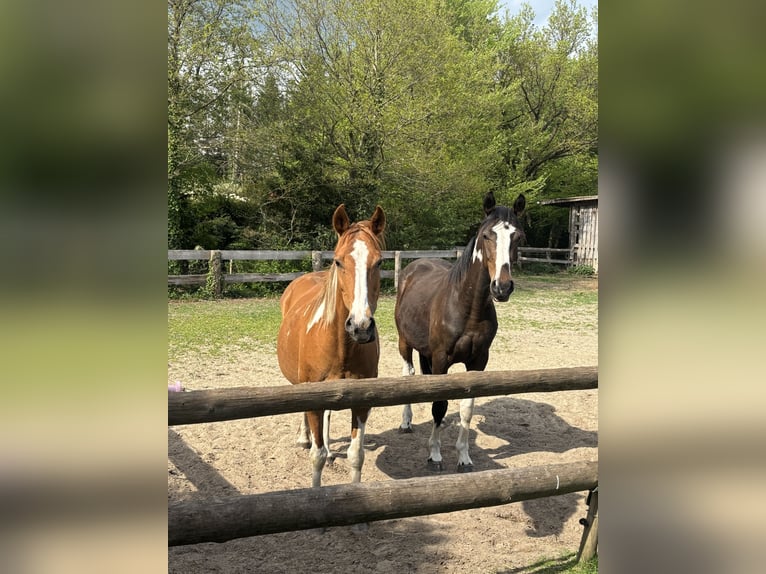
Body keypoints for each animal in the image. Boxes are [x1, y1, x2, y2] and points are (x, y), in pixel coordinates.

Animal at [277, 204, 386, 488]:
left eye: (379, 262)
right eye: (338, 261)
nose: (360, 326)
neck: (341, 348)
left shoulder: (362, 404)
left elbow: (356, 455)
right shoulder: (313, 400)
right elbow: (317, 457)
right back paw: (304, 438)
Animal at [394, 191, 525, 472]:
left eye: (518, 236)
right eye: (486, 235)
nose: (502, 287)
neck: (467, 308)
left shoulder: (478, 361)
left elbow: (466, 408)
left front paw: (464, 457)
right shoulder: (441, 358)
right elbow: (440, 404)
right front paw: (434, 454)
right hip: (404, 343)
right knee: (408, 375)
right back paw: (406, 422)